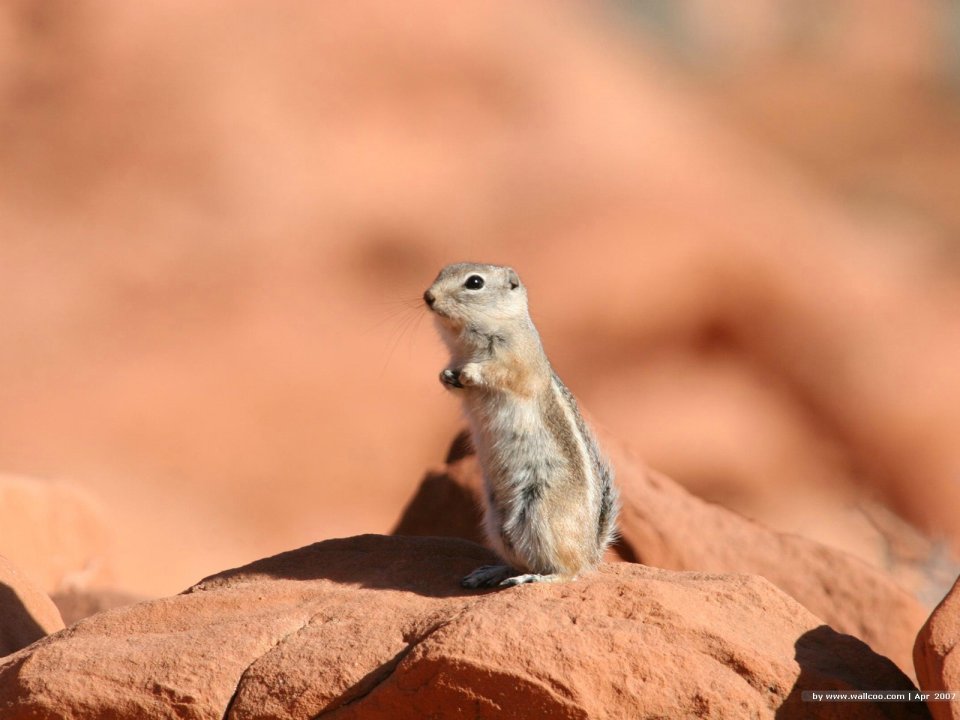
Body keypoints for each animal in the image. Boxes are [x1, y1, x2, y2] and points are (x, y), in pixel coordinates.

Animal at [423, 262, 618, 588]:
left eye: (474, 283)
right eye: (441, 272)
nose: (428, 296)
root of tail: (592, 551)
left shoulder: (520, 363)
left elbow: (505, 375)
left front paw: (472, 371)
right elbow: (454, 383)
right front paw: (445, 375)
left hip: (542, 517)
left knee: (569, 570)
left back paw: (535, 578)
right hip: (498, 524)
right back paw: (490, 572)